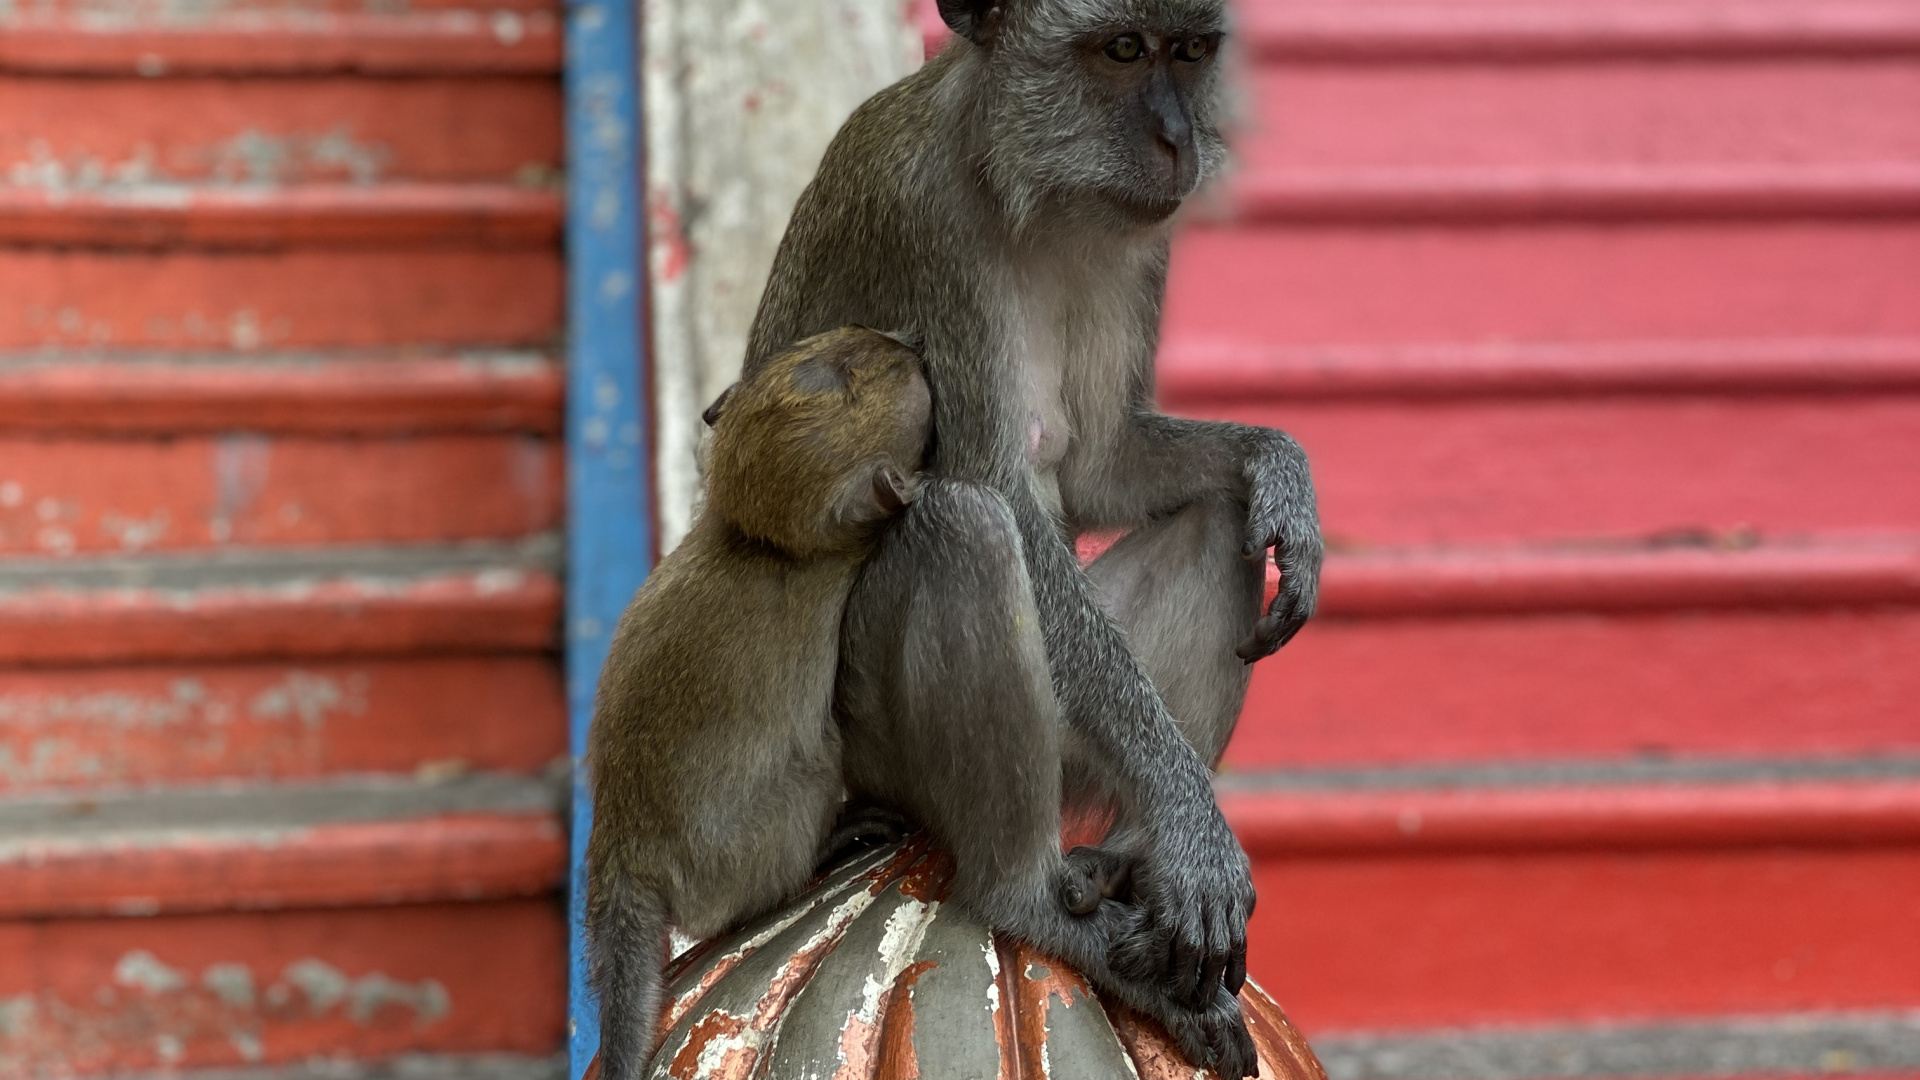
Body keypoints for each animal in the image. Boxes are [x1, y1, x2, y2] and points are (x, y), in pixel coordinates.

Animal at [582, 326, 934, 1080]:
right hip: (755, 838)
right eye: (862, 370)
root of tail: (622, 849)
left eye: (842, 349)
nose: (908, 345)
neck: (762, 541)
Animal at [742, 2, 1324, 1075]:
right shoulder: (922, 221)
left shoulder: (1138, 246)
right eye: (1122, 50)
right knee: (964, 528)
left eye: (1188, 52)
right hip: (879, 748)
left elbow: (1100, 466)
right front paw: (1192, 827)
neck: (1027, 188)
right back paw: (1027, 895)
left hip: (1072, 742)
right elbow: (1003, 495)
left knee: (1220, 522)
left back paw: (1121, 861)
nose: (1177, 141)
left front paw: (1281, 469)